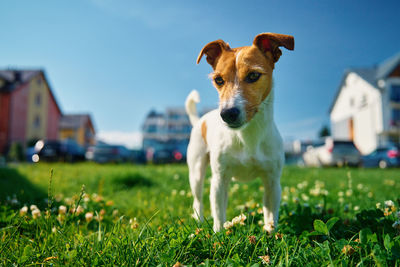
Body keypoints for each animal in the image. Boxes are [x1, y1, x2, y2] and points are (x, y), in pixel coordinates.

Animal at [185, 33, 294, 234]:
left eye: (253, 75)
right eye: (218, 80)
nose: (227, 113)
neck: (247, 136)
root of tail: (200, 121)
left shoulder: (272, 182)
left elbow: (270, 215)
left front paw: (271, 233)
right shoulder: (219, 180)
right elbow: (218, 214)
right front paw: (218, 235)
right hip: (196, 172)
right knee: (198, 200)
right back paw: (199, 221)